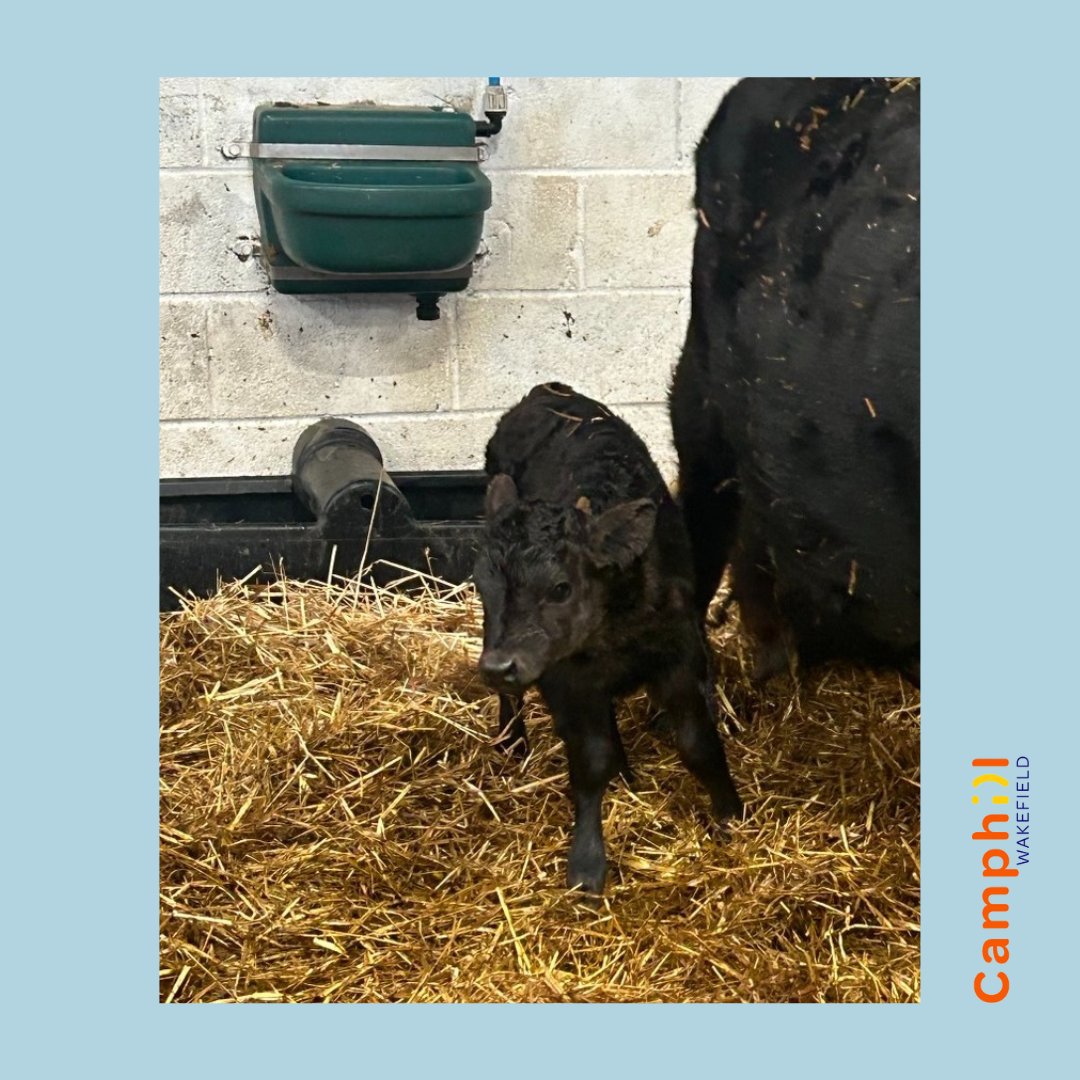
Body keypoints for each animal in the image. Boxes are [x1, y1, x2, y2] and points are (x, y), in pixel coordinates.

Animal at [473, 383, 743, 894]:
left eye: (561, 587)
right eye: (481, 585)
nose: (498, 666)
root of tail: (543, 391)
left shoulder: (679, 656)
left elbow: (698, 742)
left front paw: (731, 814)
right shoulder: (566, 682)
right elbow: (591, 760)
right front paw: (586, 864)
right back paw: (512, 739)